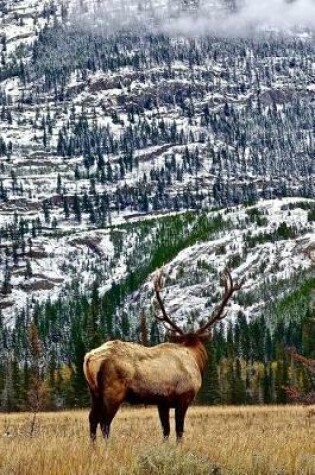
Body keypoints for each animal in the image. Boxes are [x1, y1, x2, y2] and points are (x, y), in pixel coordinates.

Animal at [83, 270, 242, 440]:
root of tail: (89, 358)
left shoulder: (162, 402)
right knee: (104, 422)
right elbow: (179, 430)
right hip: (113, 391)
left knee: (92, 418)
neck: (196, 361)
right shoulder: (183, 397)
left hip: (94, 392)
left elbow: (166, 430)